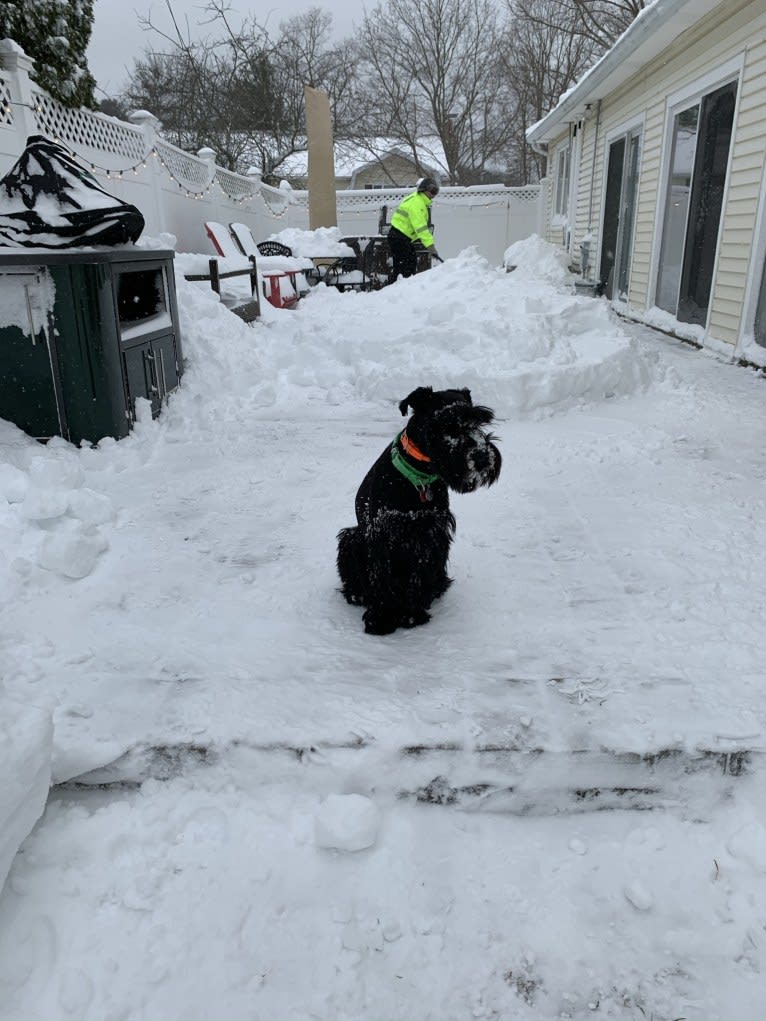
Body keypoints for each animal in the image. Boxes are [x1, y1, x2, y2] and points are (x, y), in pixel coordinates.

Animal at [339, 385, 500, 633]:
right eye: (447, 423)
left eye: (479, 422)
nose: (482, 457)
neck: (419, 475)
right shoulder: (381, 532)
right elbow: (381, 576)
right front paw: (381, 617)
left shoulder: (431, 533)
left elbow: (420, 573)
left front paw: (410, 614)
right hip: (352, 538)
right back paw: (357, 594)